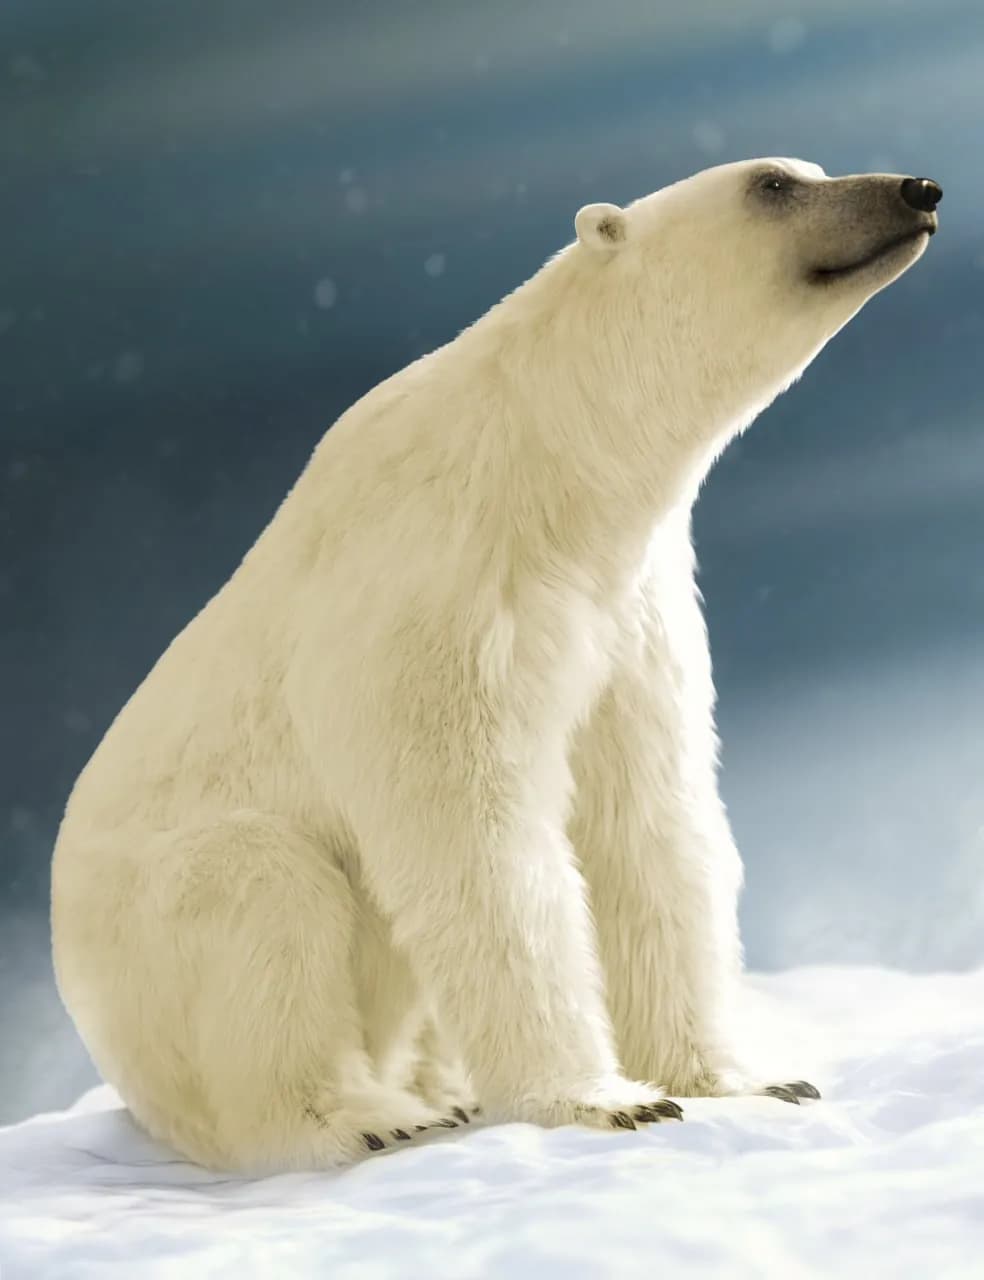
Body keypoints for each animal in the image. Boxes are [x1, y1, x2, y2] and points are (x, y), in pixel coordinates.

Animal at [50, 157, 941, 1173]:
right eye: (774, 184)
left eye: (810, 168)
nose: (917, 189)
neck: (546, 471)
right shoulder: (440, 597)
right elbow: (477, 842)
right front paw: (607, 1099)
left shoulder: (629, 612)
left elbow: (647, 822)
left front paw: (746, 1079)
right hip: (158, 932)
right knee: (264, 900)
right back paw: (369, 1114)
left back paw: (443, 1089)